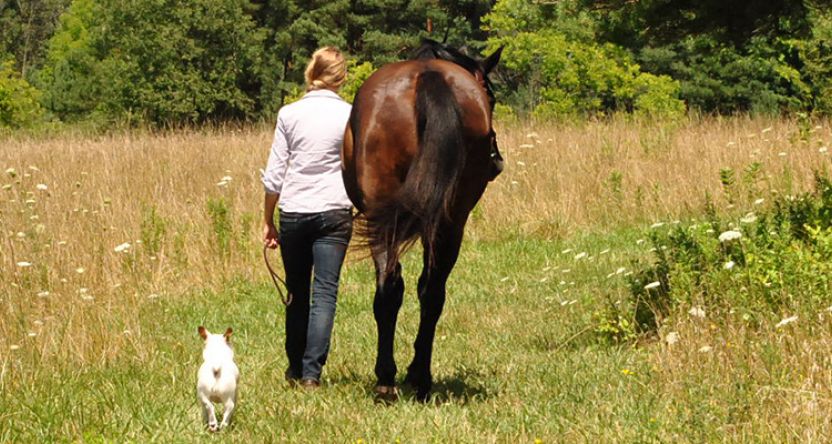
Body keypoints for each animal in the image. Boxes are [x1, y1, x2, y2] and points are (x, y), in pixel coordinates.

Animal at [340, 40, 508, 402]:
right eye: (492, 98)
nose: (497, 161)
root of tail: (427, 76)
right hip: (447, 223)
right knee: (426, 292)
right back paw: (410, 379)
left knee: (396, 289)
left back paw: (396, 378)